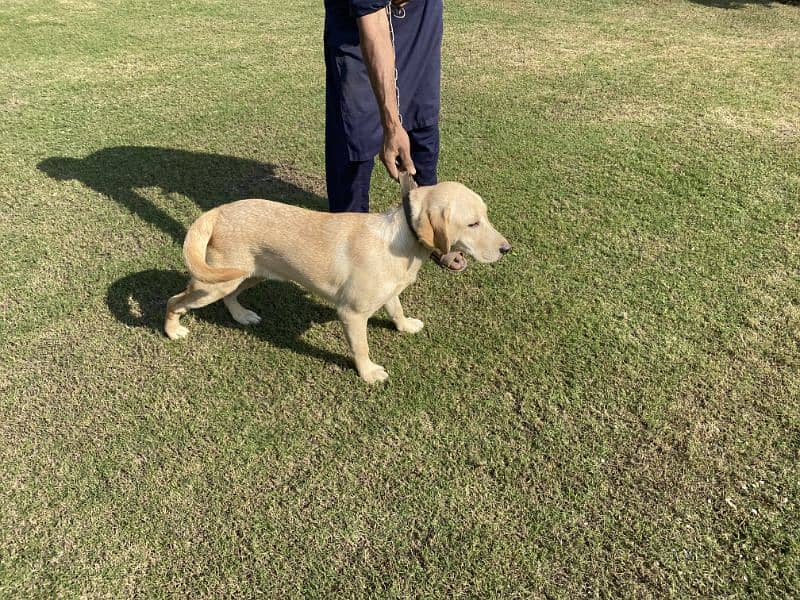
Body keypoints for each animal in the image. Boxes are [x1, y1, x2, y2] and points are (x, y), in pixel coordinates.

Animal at [165, 172, 510, 384]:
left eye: (486, 216)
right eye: (473, 223)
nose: (507, 249)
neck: (401, 242)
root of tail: (218, 211)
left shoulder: (389, 293)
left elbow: (396, 309)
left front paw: (404, 325)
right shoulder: (351, 314)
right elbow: (361, 348)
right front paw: (368, 373)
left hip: (245, 275)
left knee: (229, 297)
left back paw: (241, 315)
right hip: (214, 282)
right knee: (173, 300)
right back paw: (173, 331)